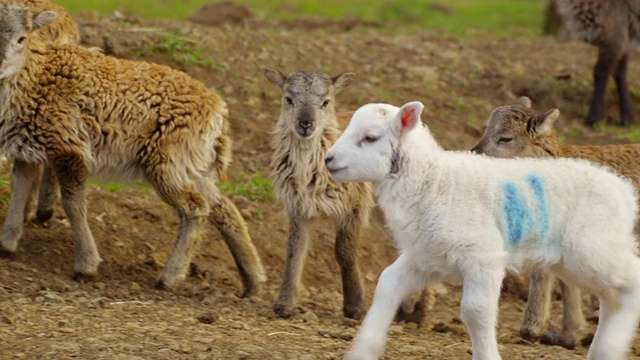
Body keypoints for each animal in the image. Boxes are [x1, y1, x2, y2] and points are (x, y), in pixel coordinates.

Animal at [0, 1, 266, 296]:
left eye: (22, 38)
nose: (0, 66)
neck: (36, 76)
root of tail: (219, 112)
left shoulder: (68, 149)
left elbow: (73, 204)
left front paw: (86, 266)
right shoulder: (26, 145)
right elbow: (20, 188)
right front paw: (7, 244)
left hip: (167, 162)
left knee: (196, 208)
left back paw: (169, 277)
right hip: (193, 164)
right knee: (223, 207)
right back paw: (253, 281)